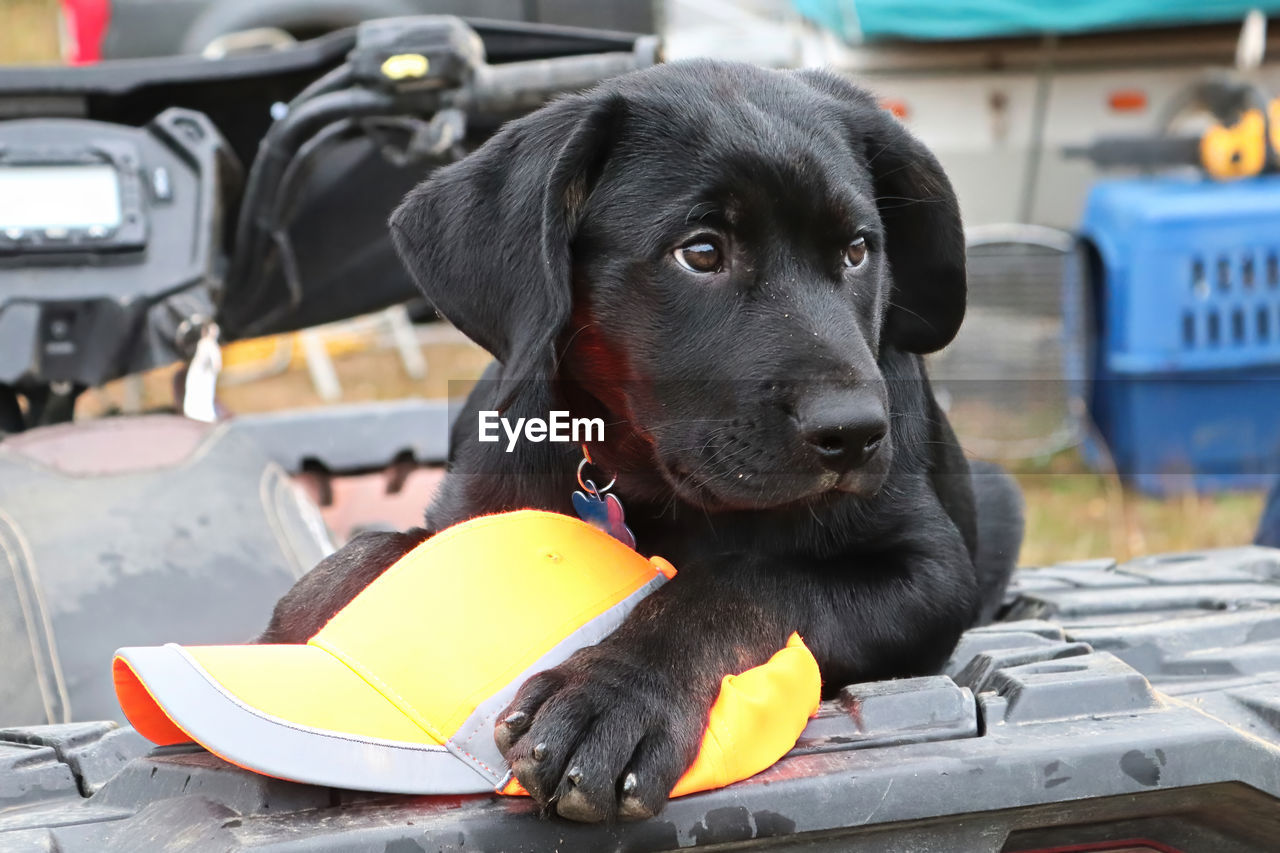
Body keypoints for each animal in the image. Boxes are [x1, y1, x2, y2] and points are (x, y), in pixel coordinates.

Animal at [259, 58, 1018, 819]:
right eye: (701, 253)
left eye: (859, 250)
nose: (856, 432)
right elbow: (382, 548)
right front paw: (301, 621)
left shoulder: (931, 571)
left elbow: (743, 581)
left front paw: (616, 693)